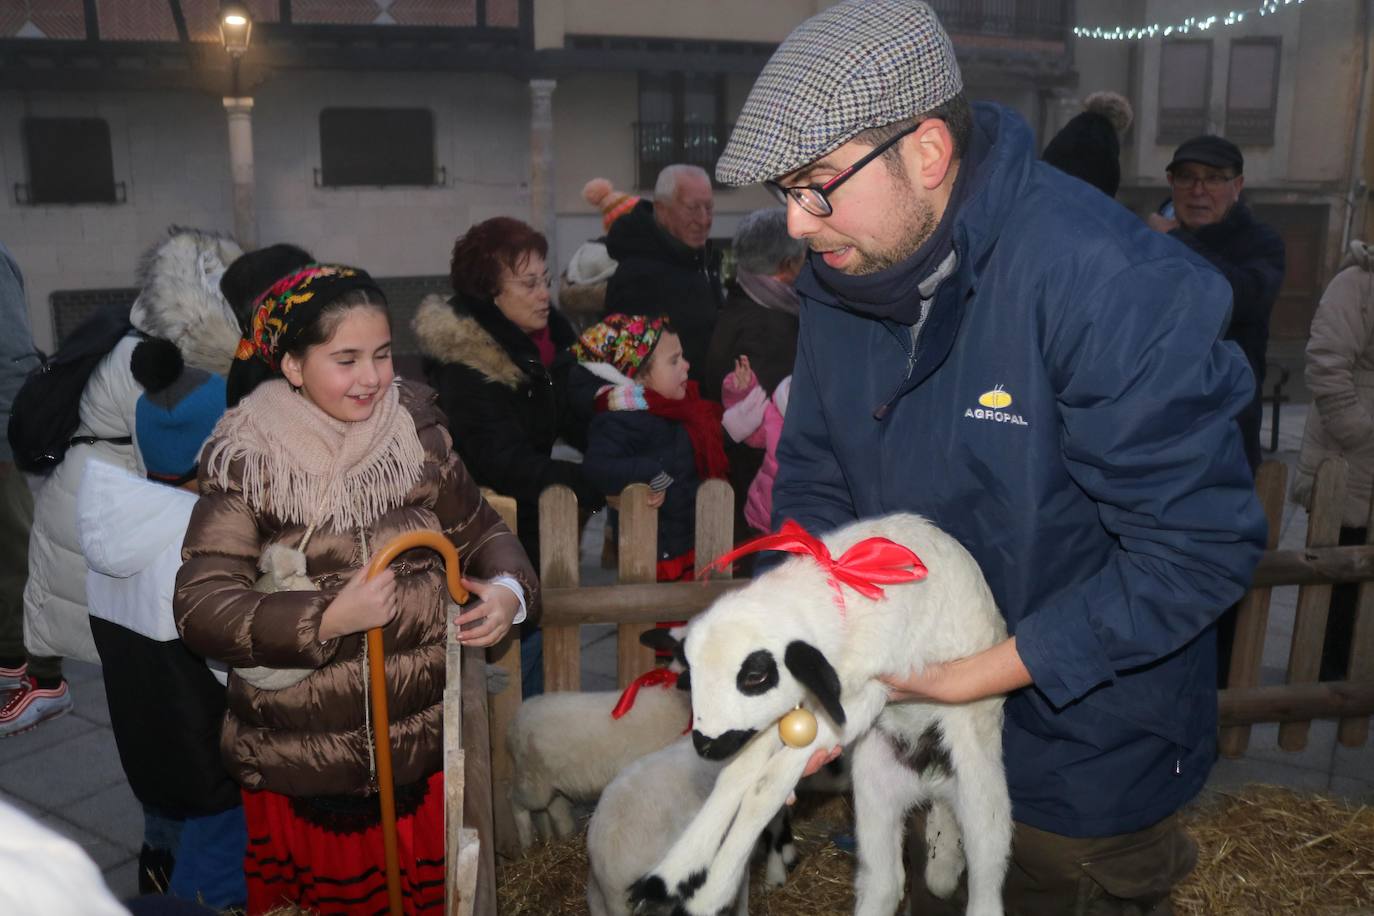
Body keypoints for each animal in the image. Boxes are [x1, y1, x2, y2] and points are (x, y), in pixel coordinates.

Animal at [629, 516, 1011, 916]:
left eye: (755, 676)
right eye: (690, 669)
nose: (705, 746)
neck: (839, 595)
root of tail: (932, 783)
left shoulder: (864, 697)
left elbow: (767, 786)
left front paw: (711, 892)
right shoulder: (790, 709)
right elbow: (737, 775)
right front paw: (669, 878)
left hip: (979, 787)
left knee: (986, 875)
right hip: (877, 791)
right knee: (885, 882)